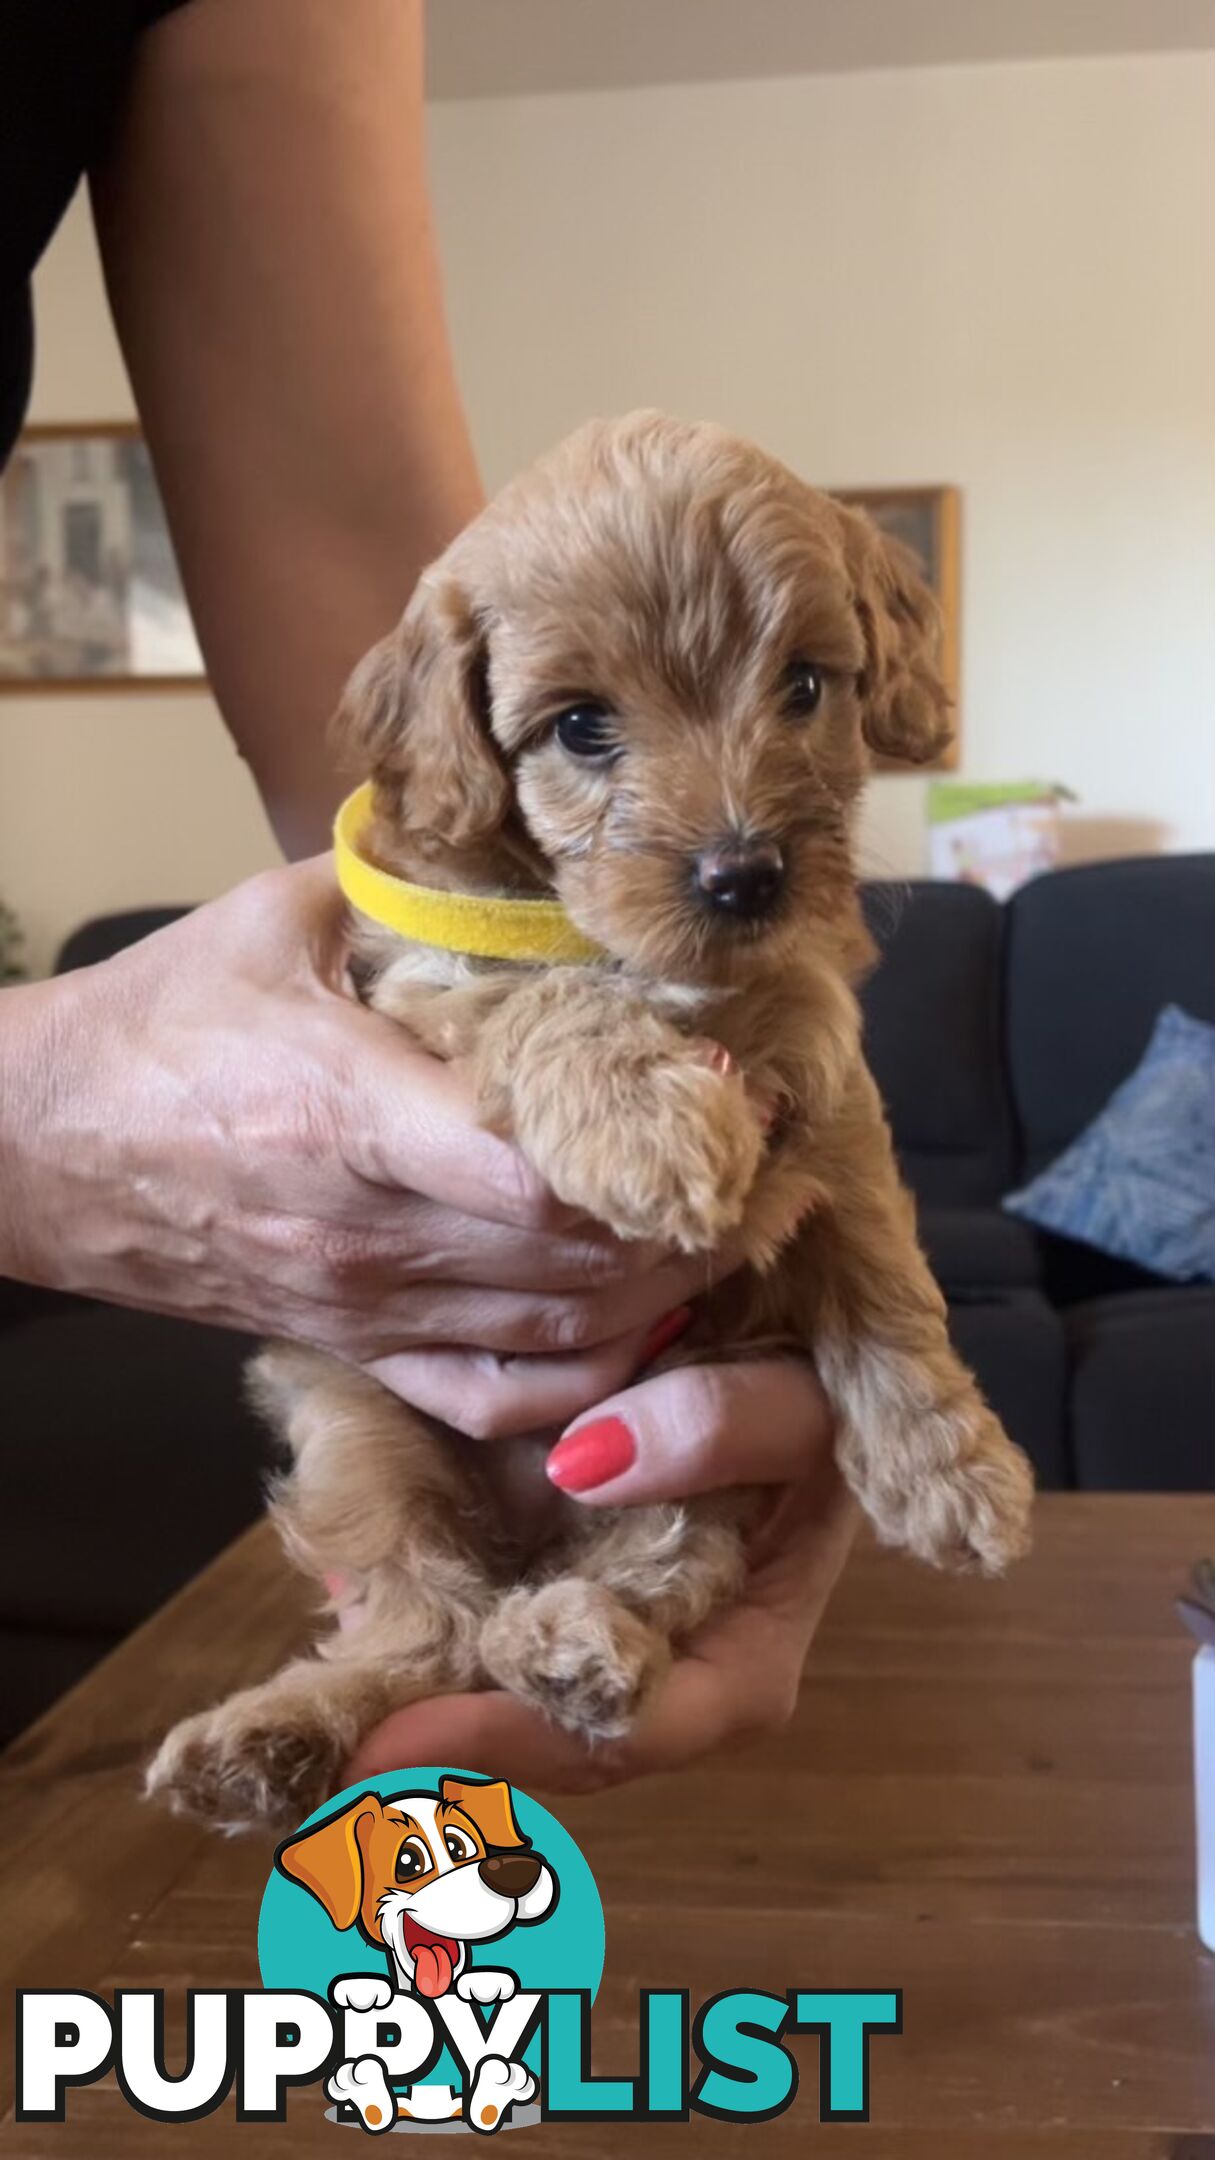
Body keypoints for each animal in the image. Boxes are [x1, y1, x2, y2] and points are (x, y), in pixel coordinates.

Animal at [147, 412, 1024, 1831]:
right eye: (580, 727)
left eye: (804, 686)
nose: (745, 874)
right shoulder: (428, 986)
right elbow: (543, 1002)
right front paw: (645, 1124)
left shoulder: (826, 1089)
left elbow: (885, 1279)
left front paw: (953, 1471)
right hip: (359, 1425)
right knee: (425, 1625)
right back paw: (276, 1732)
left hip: (668, 1435)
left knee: (646, 1560)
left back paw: (573, 1642)